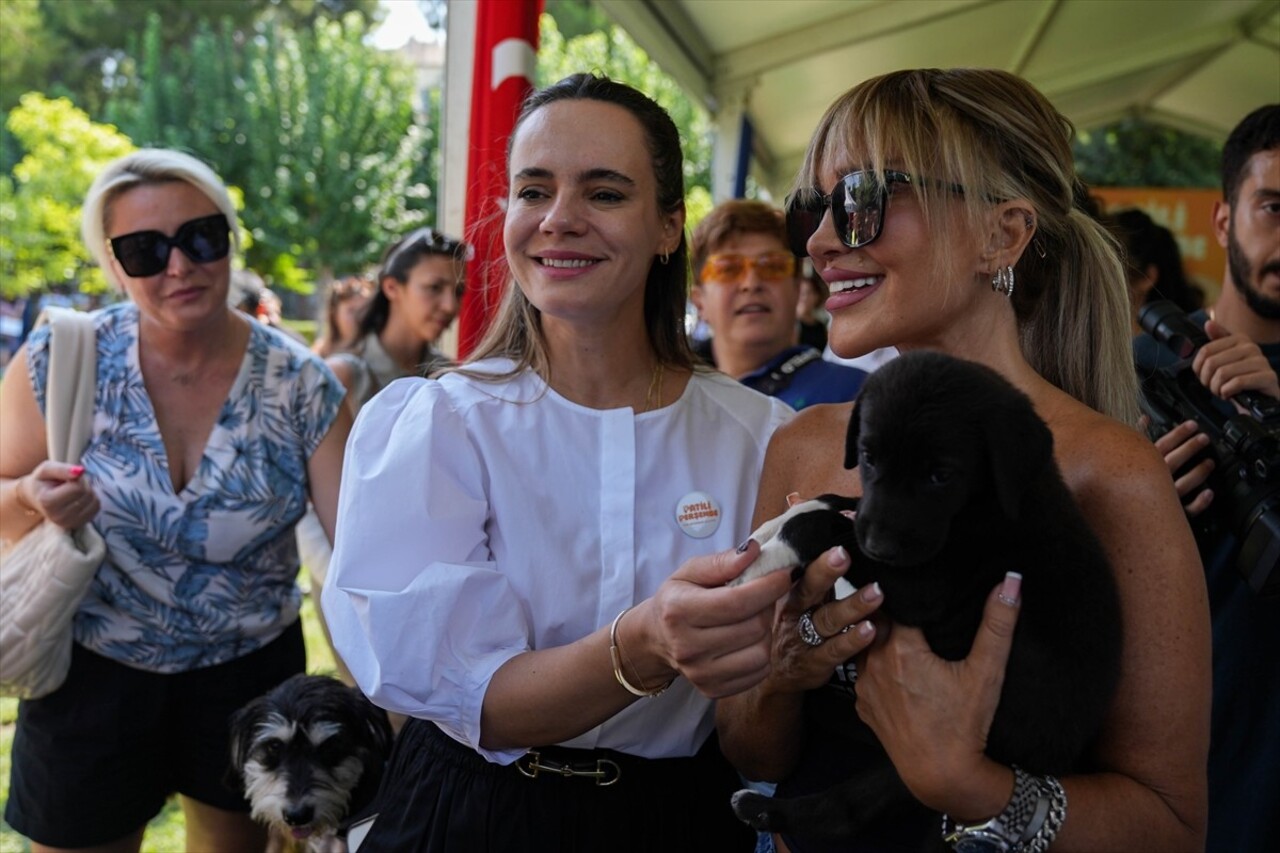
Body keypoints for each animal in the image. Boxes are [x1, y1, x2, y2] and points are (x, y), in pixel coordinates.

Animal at [732, 350, 1121, 845]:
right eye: (867, 457)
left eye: (941, 475)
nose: (879, 546)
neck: (984, 501)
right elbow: (838, 502)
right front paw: (771, 528)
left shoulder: (924, 584)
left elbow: (829, 527)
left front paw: (768, 554)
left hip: (934, 763)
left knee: (849, 807)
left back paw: (763, 808)